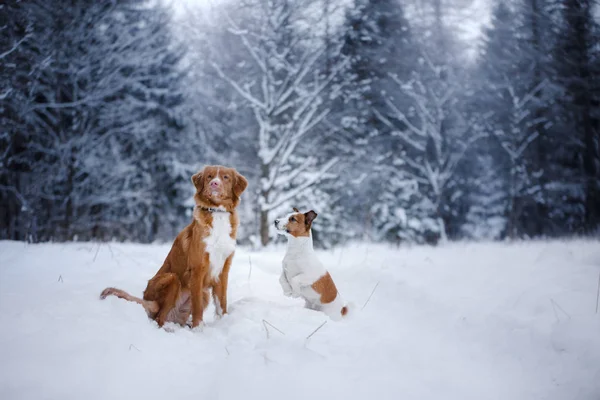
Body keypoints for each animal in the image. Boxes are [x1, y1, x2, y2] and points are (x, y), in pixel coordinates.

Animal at [101, 164, 248, 326]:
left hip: (203, 294)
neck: (218, 212)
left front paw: (224, 322)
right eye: (209, 176)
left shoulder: (223, 269)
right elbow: (197, 307)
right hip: (172, 279)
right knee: (159, 318)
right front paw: (198, 328)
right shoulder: (197, 269)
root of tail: (149, 301)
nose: (214, 183)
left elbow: (222, 303)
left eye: (225, 177)